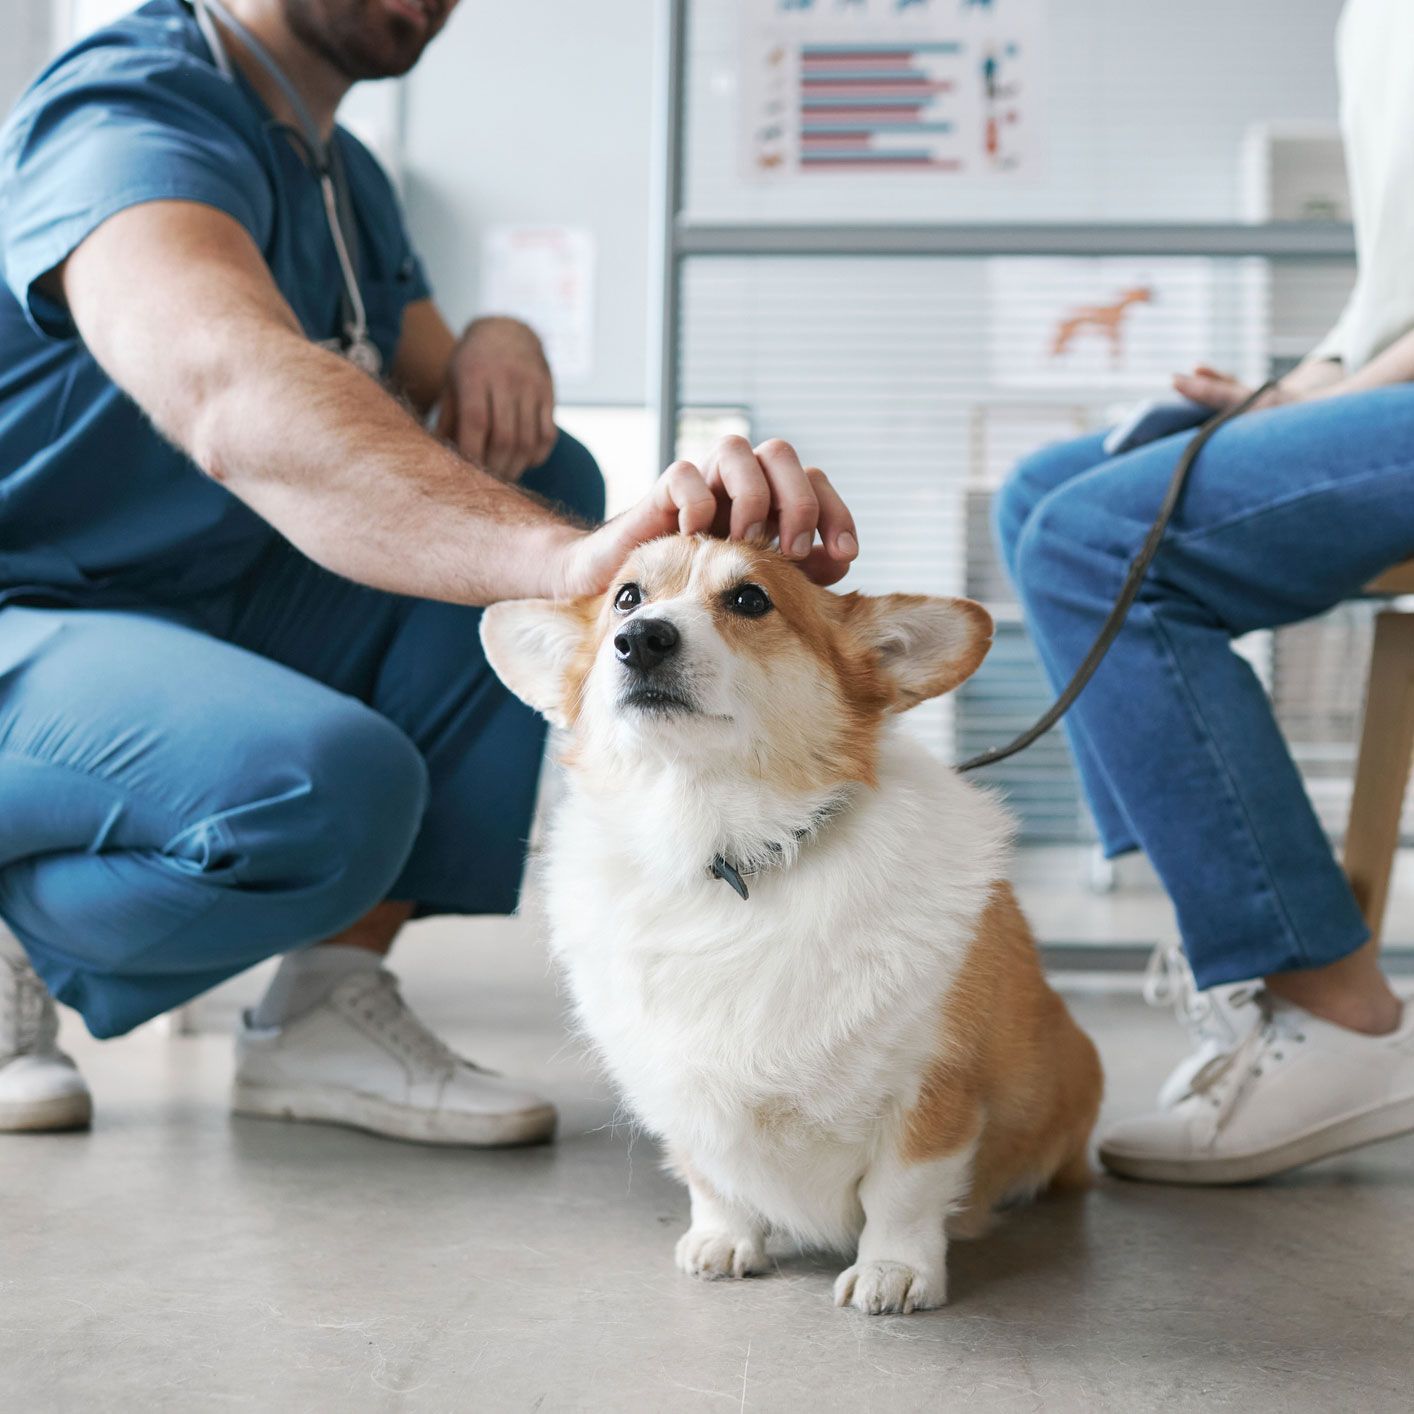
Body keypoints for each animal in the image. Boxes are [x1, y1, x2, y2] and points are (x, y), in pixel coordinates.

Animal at [486, 531, 1102, 1312]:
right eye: (627, 596)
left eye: (751, 599)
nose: (641, 639)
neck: (723, 852)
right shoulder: (681, 1089)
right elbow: (712, 1178)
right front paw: (723, 1240)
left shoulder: (932, 1091)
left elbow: (903, 1193)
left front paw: (893, 1272)